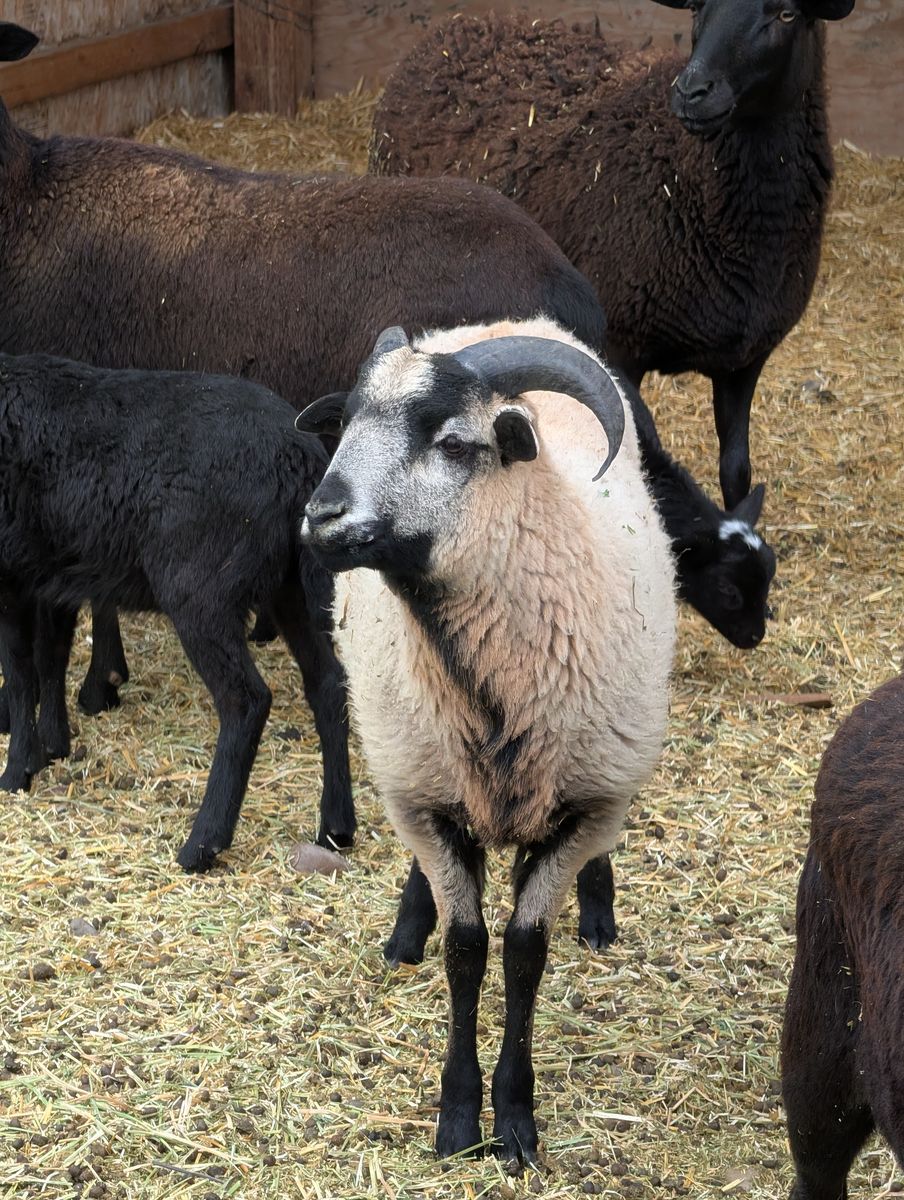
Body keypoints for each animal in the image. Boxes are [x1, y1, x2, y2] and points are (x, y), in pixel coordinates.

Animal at [0, 351, 353, 872]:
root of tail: (297, 454)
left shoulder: (9, 571)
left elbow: (21, 671)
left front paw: (17, 770)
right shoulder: (52, 574)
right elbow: (50, 658)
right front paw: (52, 747)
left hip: (200, 587)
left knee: (246, 701)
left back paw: (203, 844)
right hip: (291, 583)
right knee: (327, 684)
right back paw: (336, 827)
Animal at [299, 316, 677, 1163]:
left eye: (451, 442)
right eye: (345, 425)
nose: (321, 516)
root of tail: (515, 320)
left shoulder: (583, 809)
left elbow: (525, 955)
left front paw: (515, 1120)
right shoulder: (428, 804)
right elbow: (466, 950)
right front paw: (458, 1116)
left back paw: (598, 913)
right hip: (414, 762)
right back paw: (408, 929)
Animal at [370, 0, 856, 511]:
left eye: (786, 14)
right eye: (699, 9)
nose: (691, 93)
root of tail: (462, 25)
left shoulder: (746, 359)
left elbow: (736, 471)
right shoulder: (620, 352)